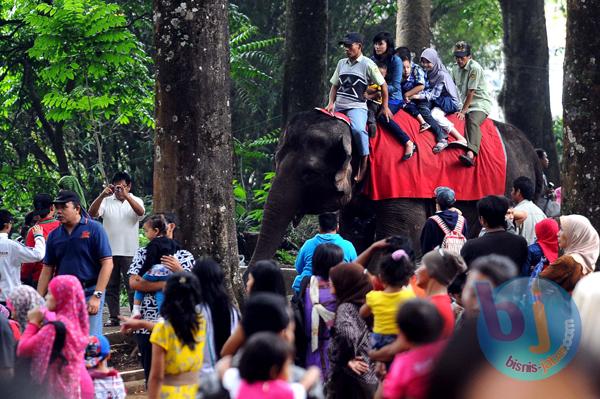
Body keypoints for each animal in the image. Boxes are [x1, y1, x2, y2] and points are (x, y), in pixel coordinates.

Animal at [250, 110, 544, 266]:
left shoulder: (402, 180)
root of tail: (533, 152)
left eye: (309, 173)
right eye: (276, 161)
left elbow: (401, 236)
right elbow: (354, 235)